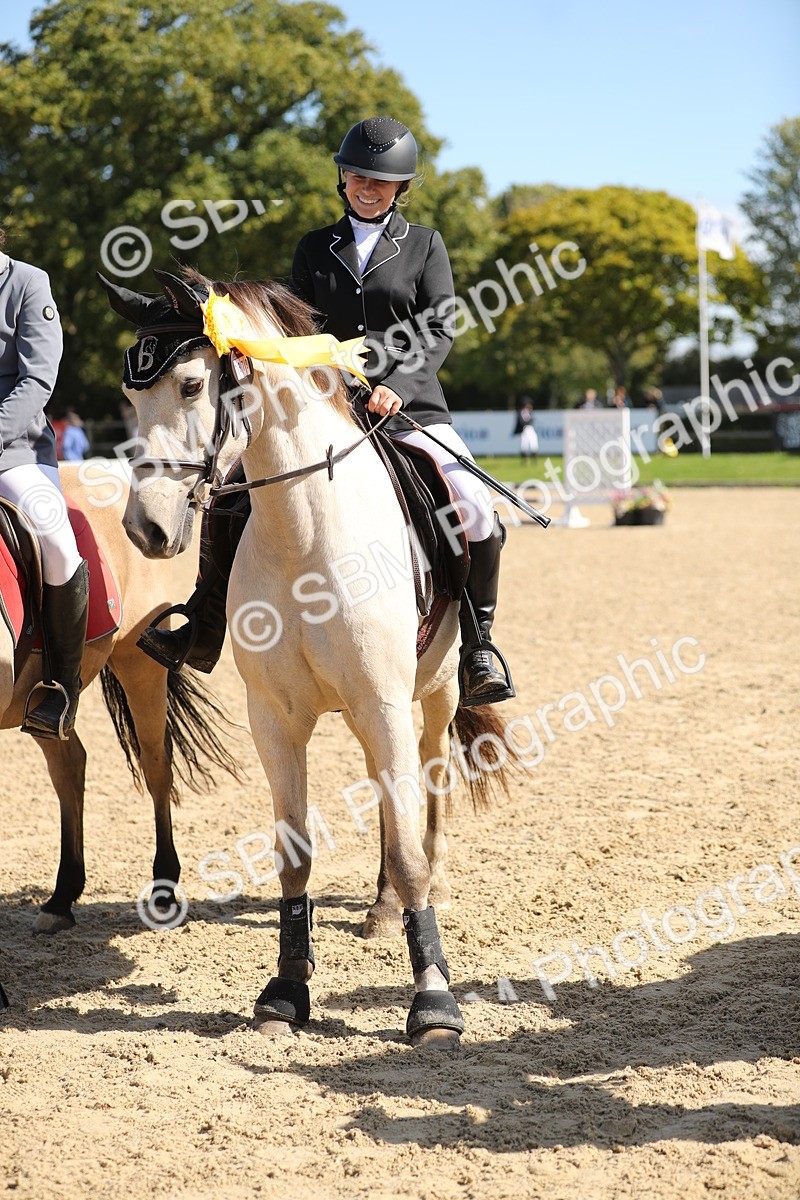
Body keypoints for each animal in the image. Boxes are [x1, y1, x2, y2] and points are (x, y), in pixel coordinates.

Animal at [0, 461, 240, 936]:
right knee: (70, 764)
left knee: (156, 763)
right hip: (38, 702)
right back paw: (62, 897)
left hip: (139, 663)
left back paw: (163, 886)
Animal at [103, 268, 515, 1048]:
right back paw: (379, 906)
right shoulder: (275, 717)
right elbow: (293, 855)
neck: (304, 532)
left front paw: (434, 1002)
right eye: (129, 398)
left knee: (427, 784)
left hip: (431, 694)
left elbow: (409, 848)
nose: (146, 530)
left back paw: (424, 884)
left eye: (194, 386)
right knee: (389, 795)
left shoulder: (383, 701)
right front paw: (286, 991)